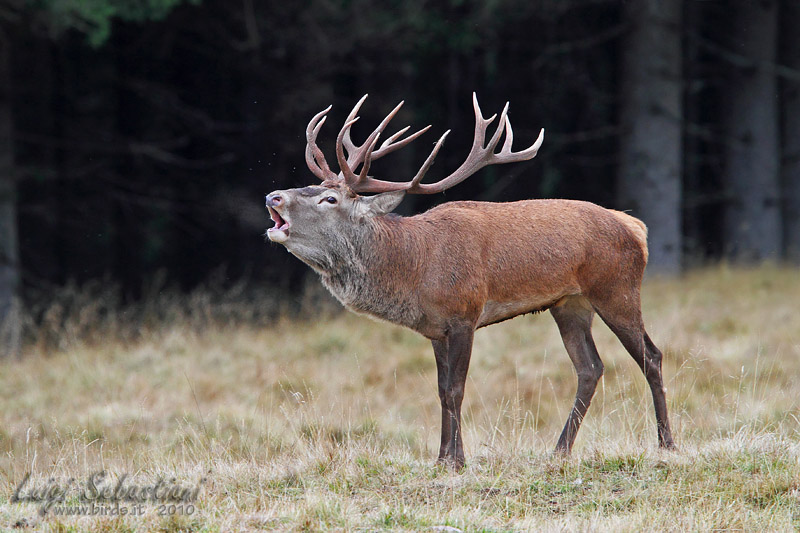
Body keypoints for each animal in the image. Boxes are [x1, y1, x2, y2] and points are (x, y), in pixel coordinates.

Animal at [265, 94, 675, 469]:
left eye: (329, 198)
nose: (274, 195)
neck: (415, 269)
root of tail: (635, 226)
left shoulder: (464, 313)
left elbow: (457, 389)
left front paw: (458, 461)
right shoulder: (435, 329)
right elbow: (441, 390)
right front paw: (442, 458)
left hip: (617, 288)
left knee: (651, 355)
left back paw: (666, 444)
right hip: (570, 304)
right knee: (590, 367)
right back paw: (559, 450)